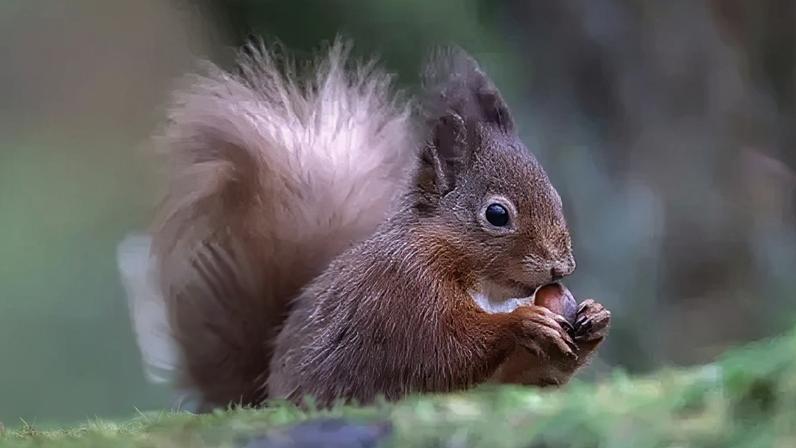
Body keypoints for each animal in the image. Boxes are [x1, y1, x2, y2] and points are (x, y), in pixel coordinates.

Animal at [117, 38, 611, 411]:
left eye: (557, 196)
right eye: (496, 214)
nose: (562, 267)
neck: (481, 284)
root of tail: (263, 396)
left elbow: (522, 377)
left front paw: (593, 317)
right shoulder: (402, 292)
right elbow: (445, 349)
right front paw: (524, 322)